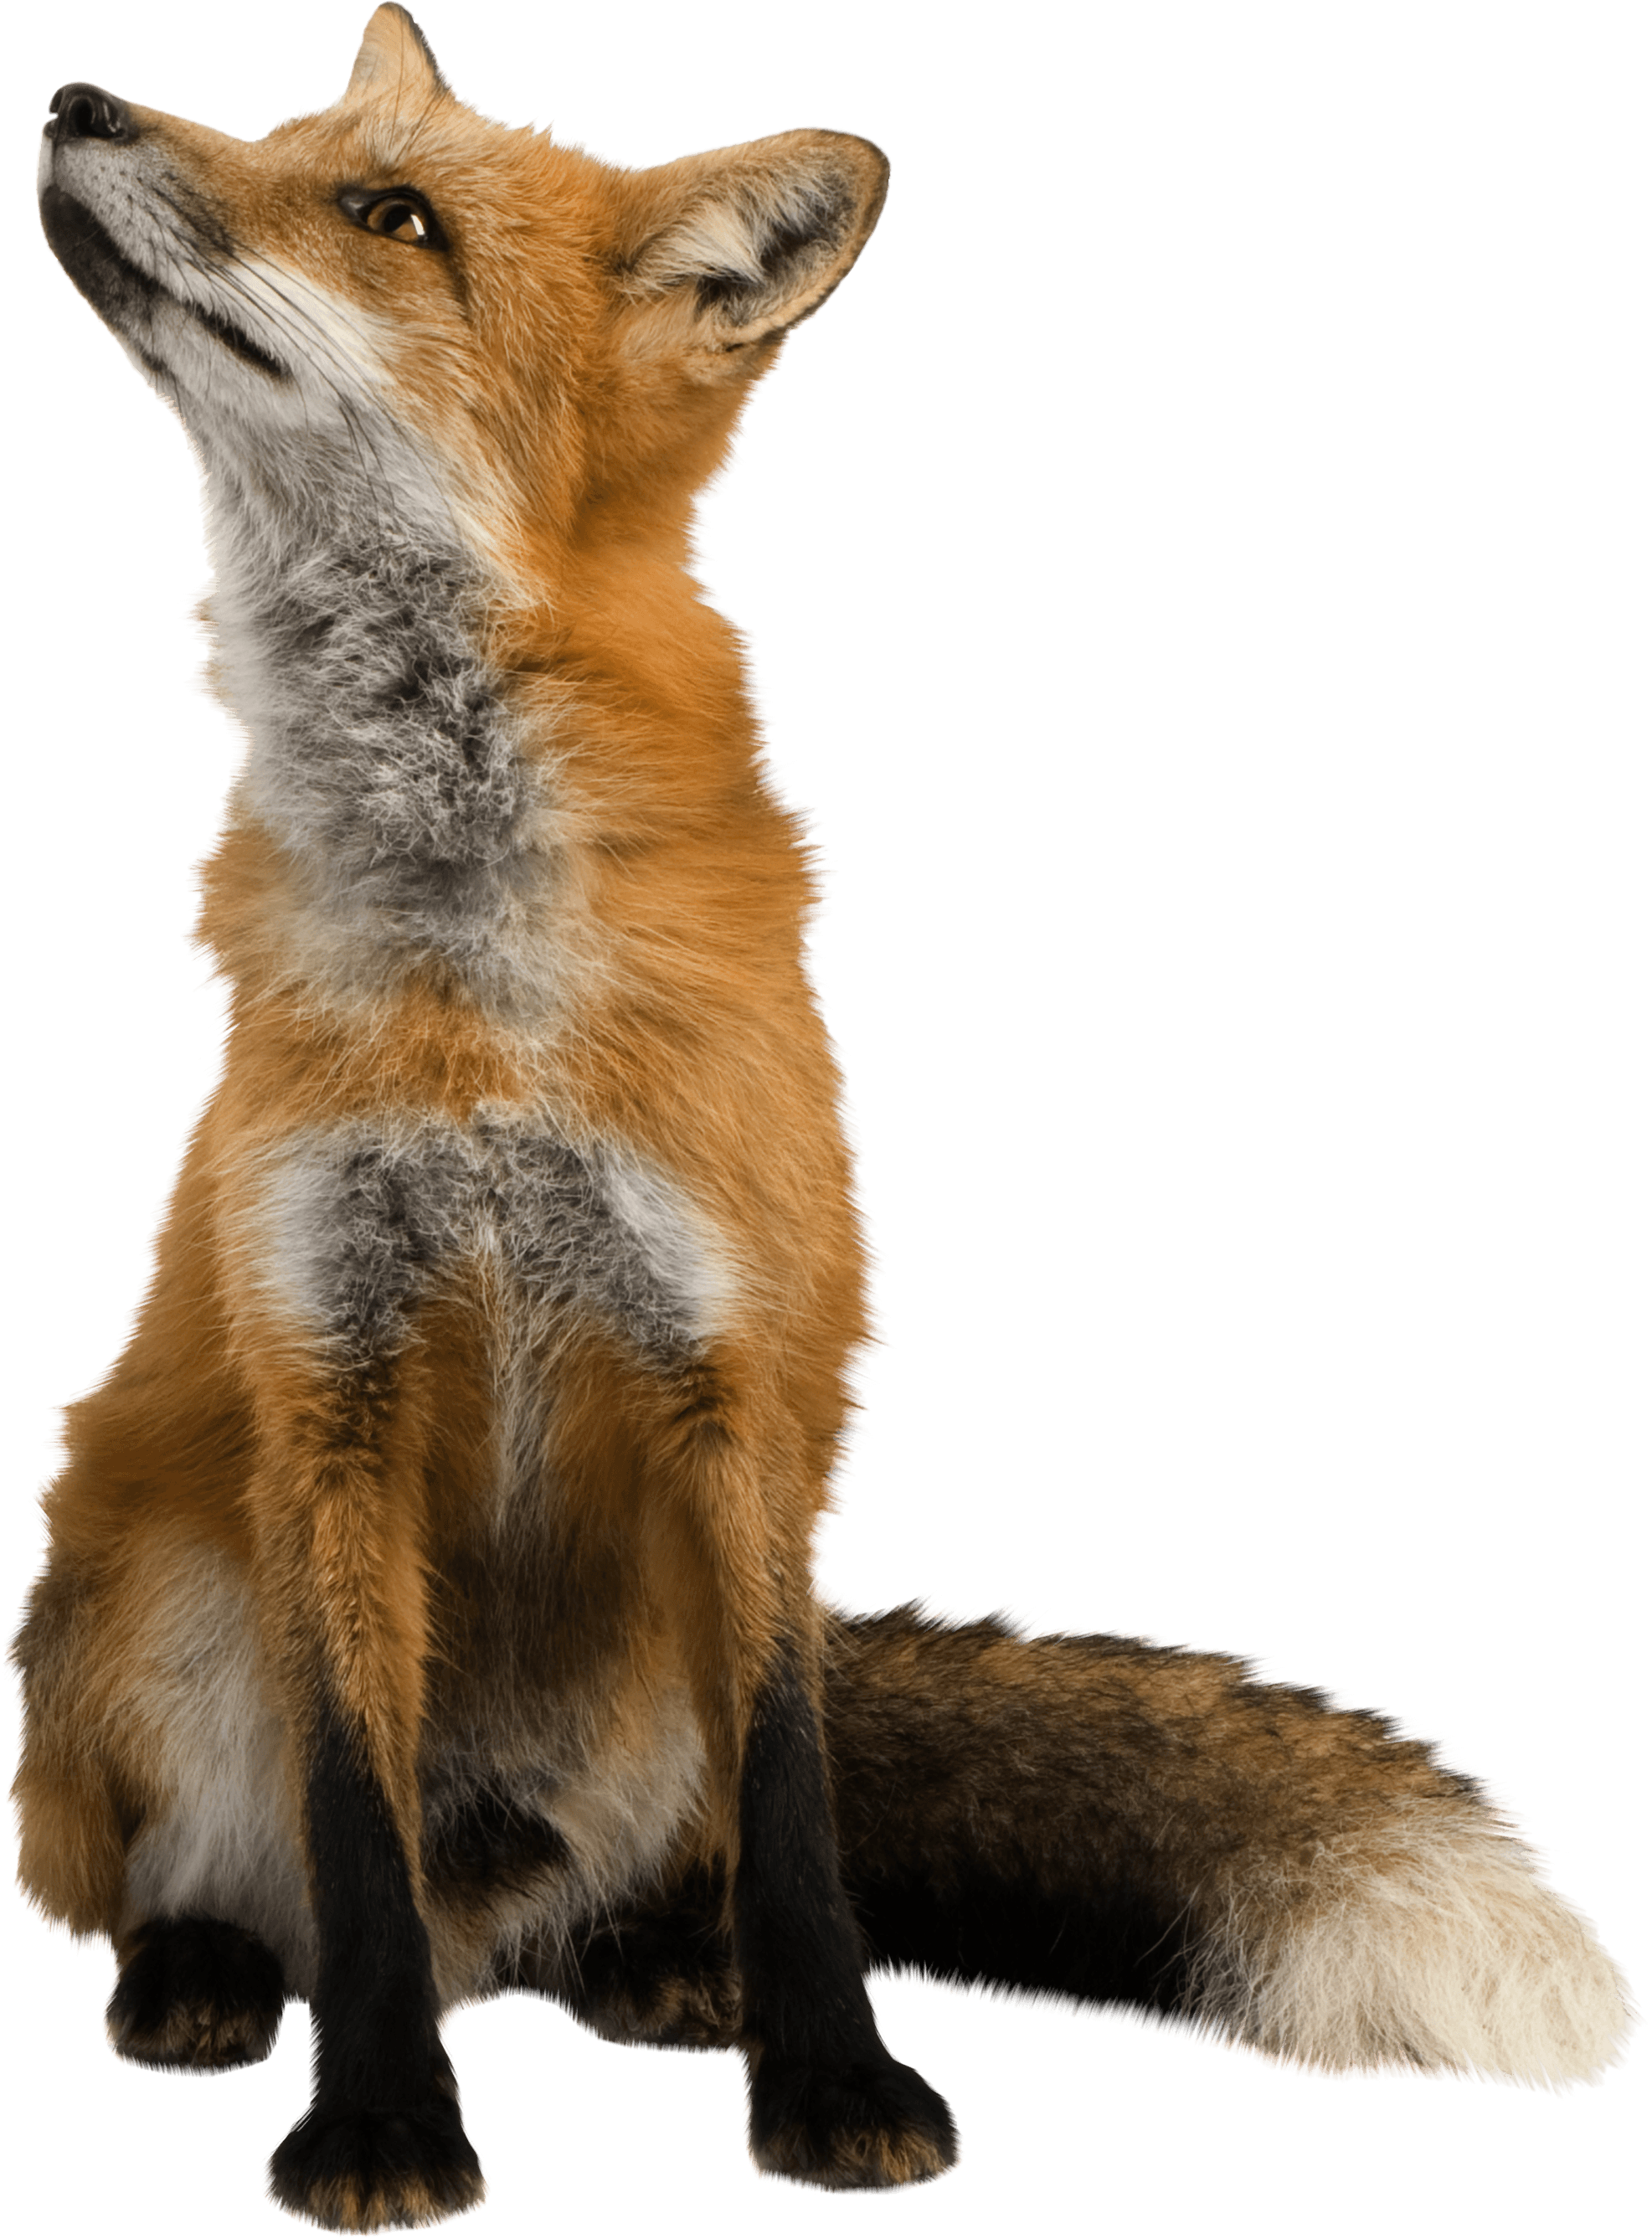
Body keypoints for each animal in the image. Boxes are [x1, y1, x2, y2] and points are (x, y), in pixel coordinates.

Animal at [14, 5, 1639, 2230]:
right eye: (279, 131)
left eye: (387, 211)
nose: (80, 99)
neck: (482, 982)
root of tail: (506, 1902)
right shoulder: (325, 1384)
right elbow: (351, 1826)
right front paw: (380, 2124)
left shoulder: (744, 1392)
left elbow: (795, 1815)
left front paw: (834, 2088)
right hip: (144, 1594)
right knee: (249, 1885)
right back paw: (203, 1976)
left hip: (648, 1671)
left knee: (640, 1873)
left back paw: (655, 1967)